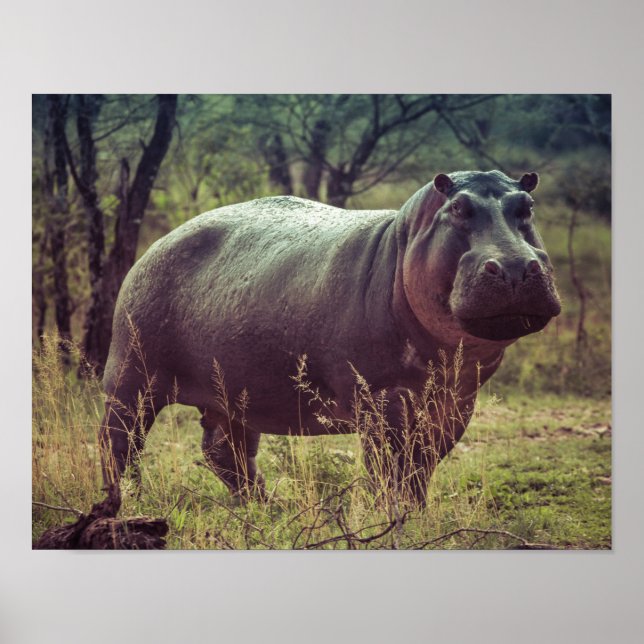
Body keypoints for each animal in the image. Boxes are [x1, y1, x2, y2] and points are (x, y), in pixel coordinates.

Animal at [100, 170, 561, 505]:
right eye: (459, 208)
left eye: (527, 207)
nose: (515, 266)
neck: (403, 242)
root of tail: (160, 241)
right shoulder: (382, 400)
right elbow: (389, 469)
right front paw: (392, 519)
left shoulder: (455, 401)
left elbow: (420, 469)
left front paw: (416, 514)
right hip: (131, 376)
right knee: (118, 442)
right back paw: (126, 502)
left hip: (232, 392)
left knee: (225, 451)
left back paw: (267, 507)